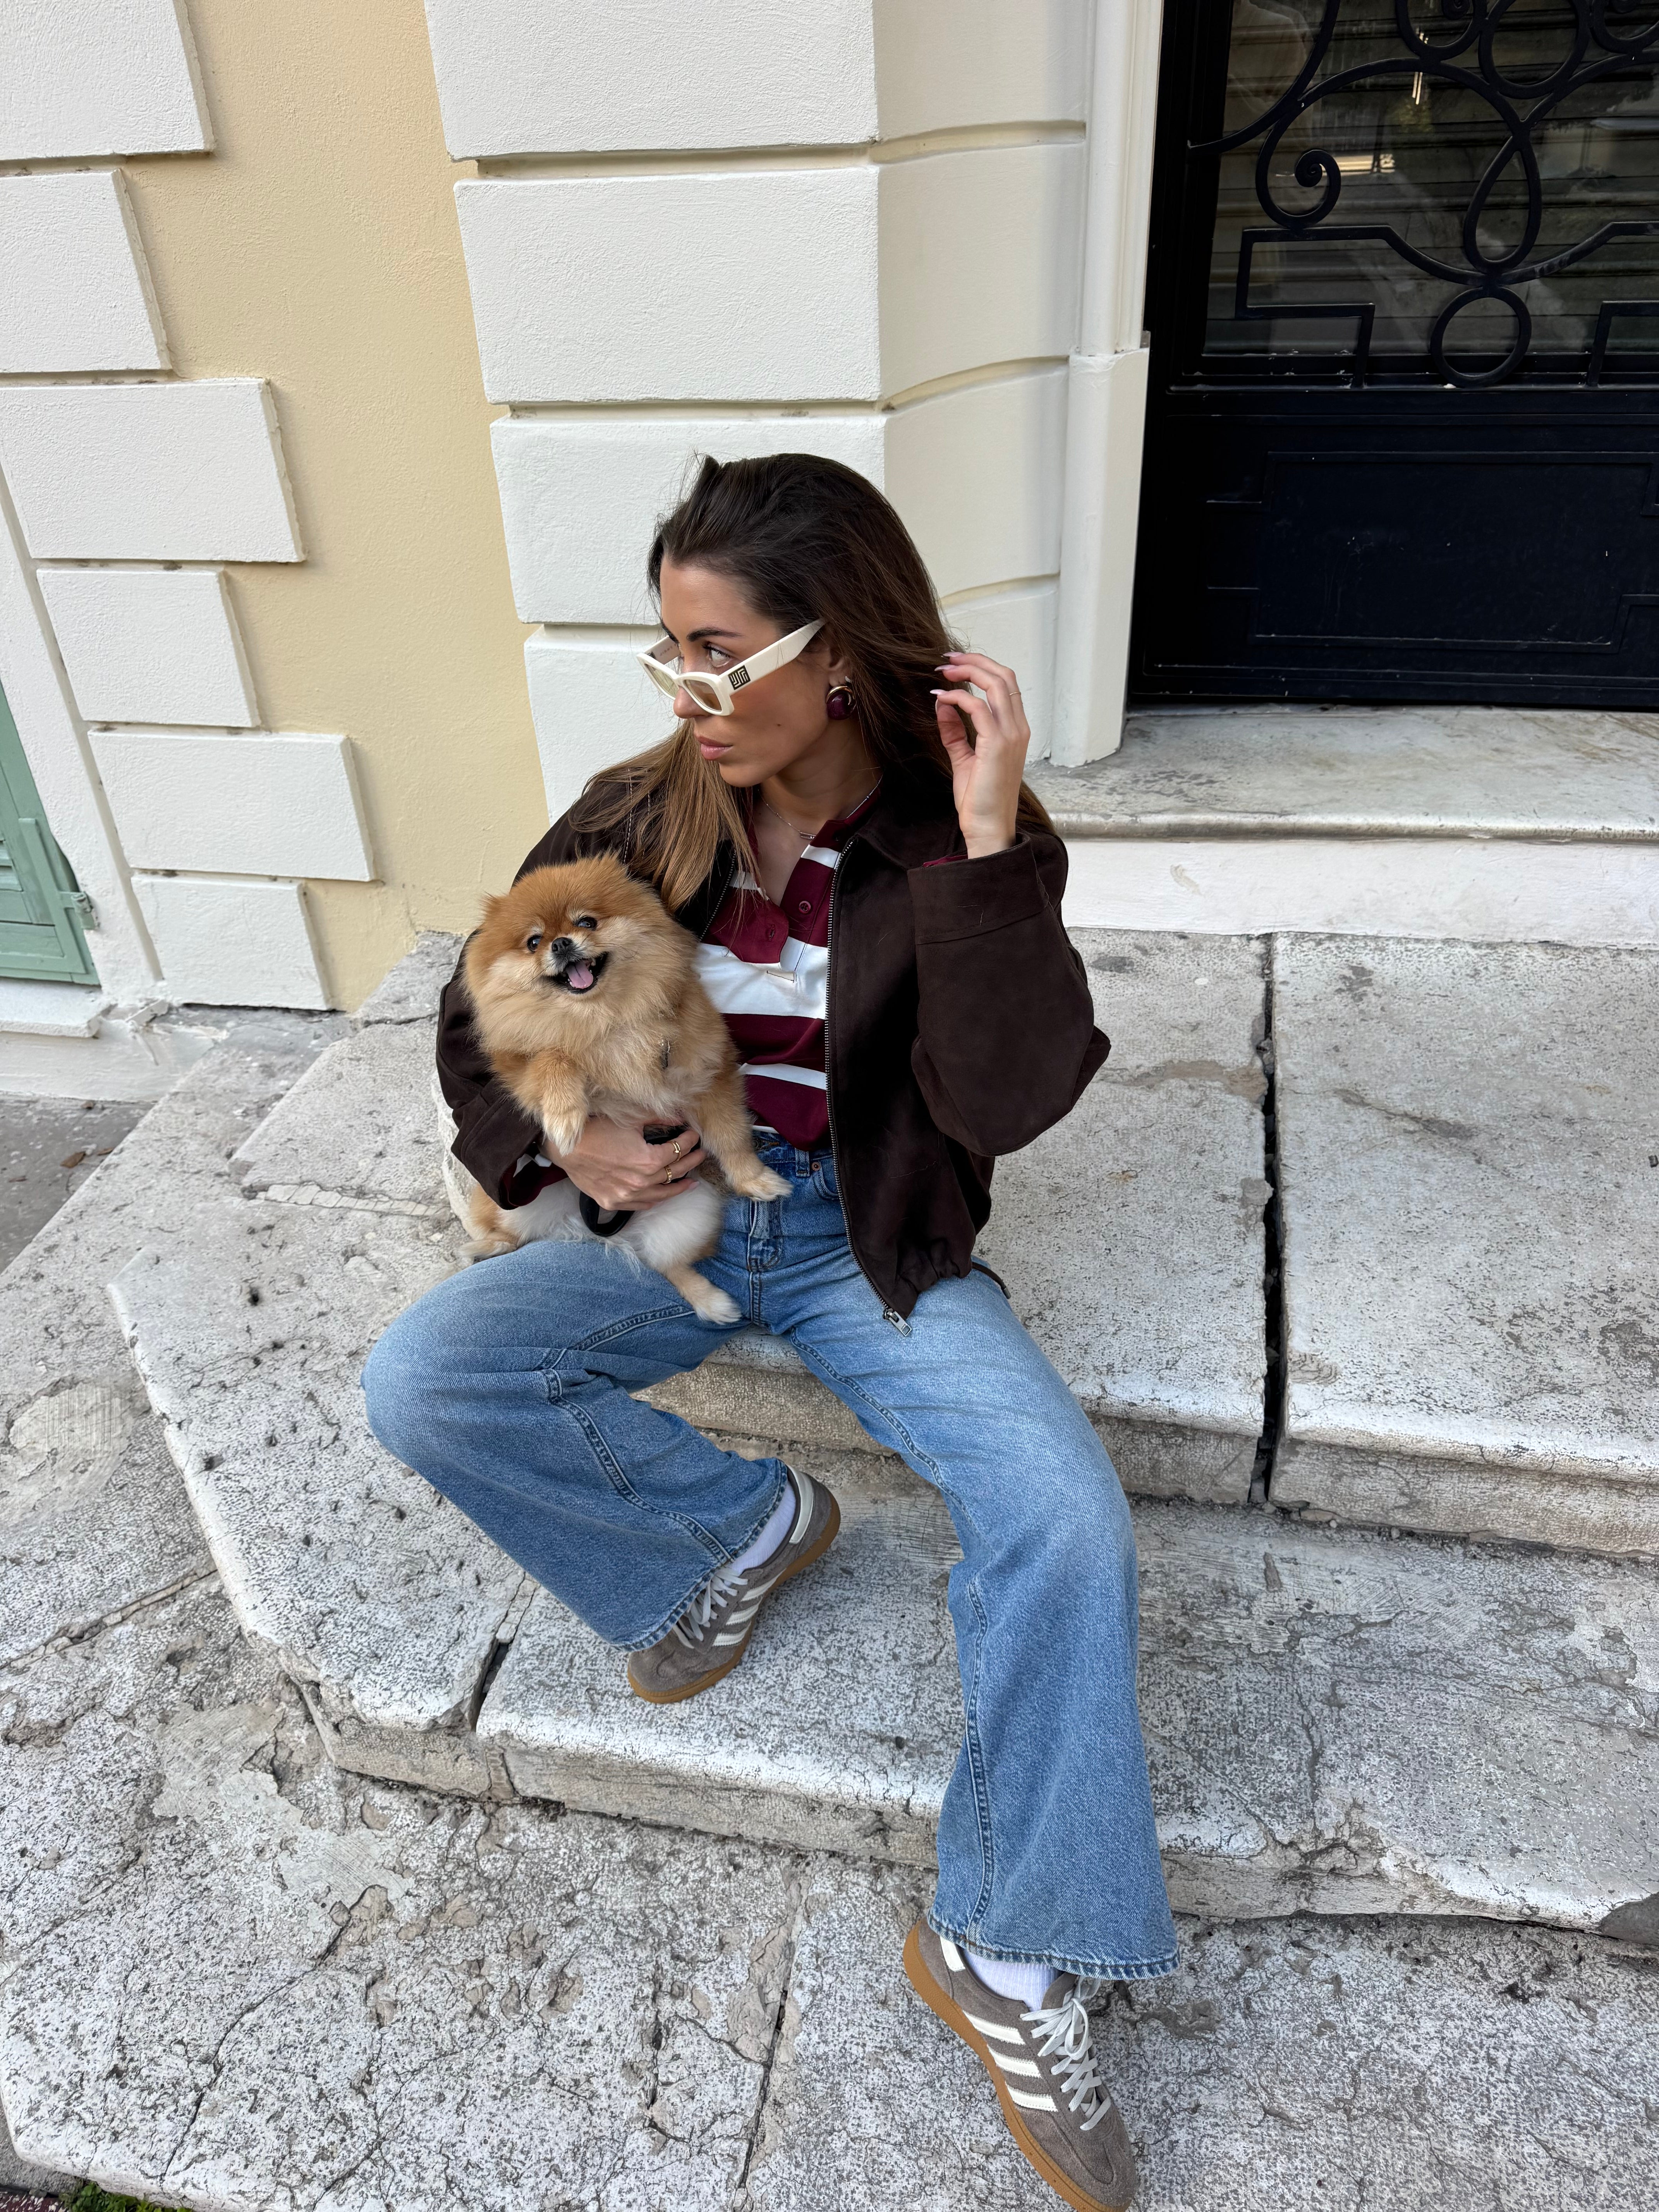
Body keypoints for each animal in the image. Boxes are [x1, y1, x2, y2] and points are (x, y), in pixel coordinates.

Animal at [459, 853, 789, 1322]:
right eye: (534, 942)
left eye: (587, 922)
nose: (561, 944)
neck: (603, 1019)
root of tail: (585, 1228)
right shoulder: (519, 1067)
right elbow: (552, 1057)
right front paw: (564, 1119)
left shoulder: (710, 1075)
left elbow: (731, 1136)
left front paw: (756, 1181)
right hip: (515, 1205)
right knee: (511, 1234)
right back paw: (483, 1248)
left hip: (689, 1215)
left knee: (668, 1265)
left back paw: (713, 1302)